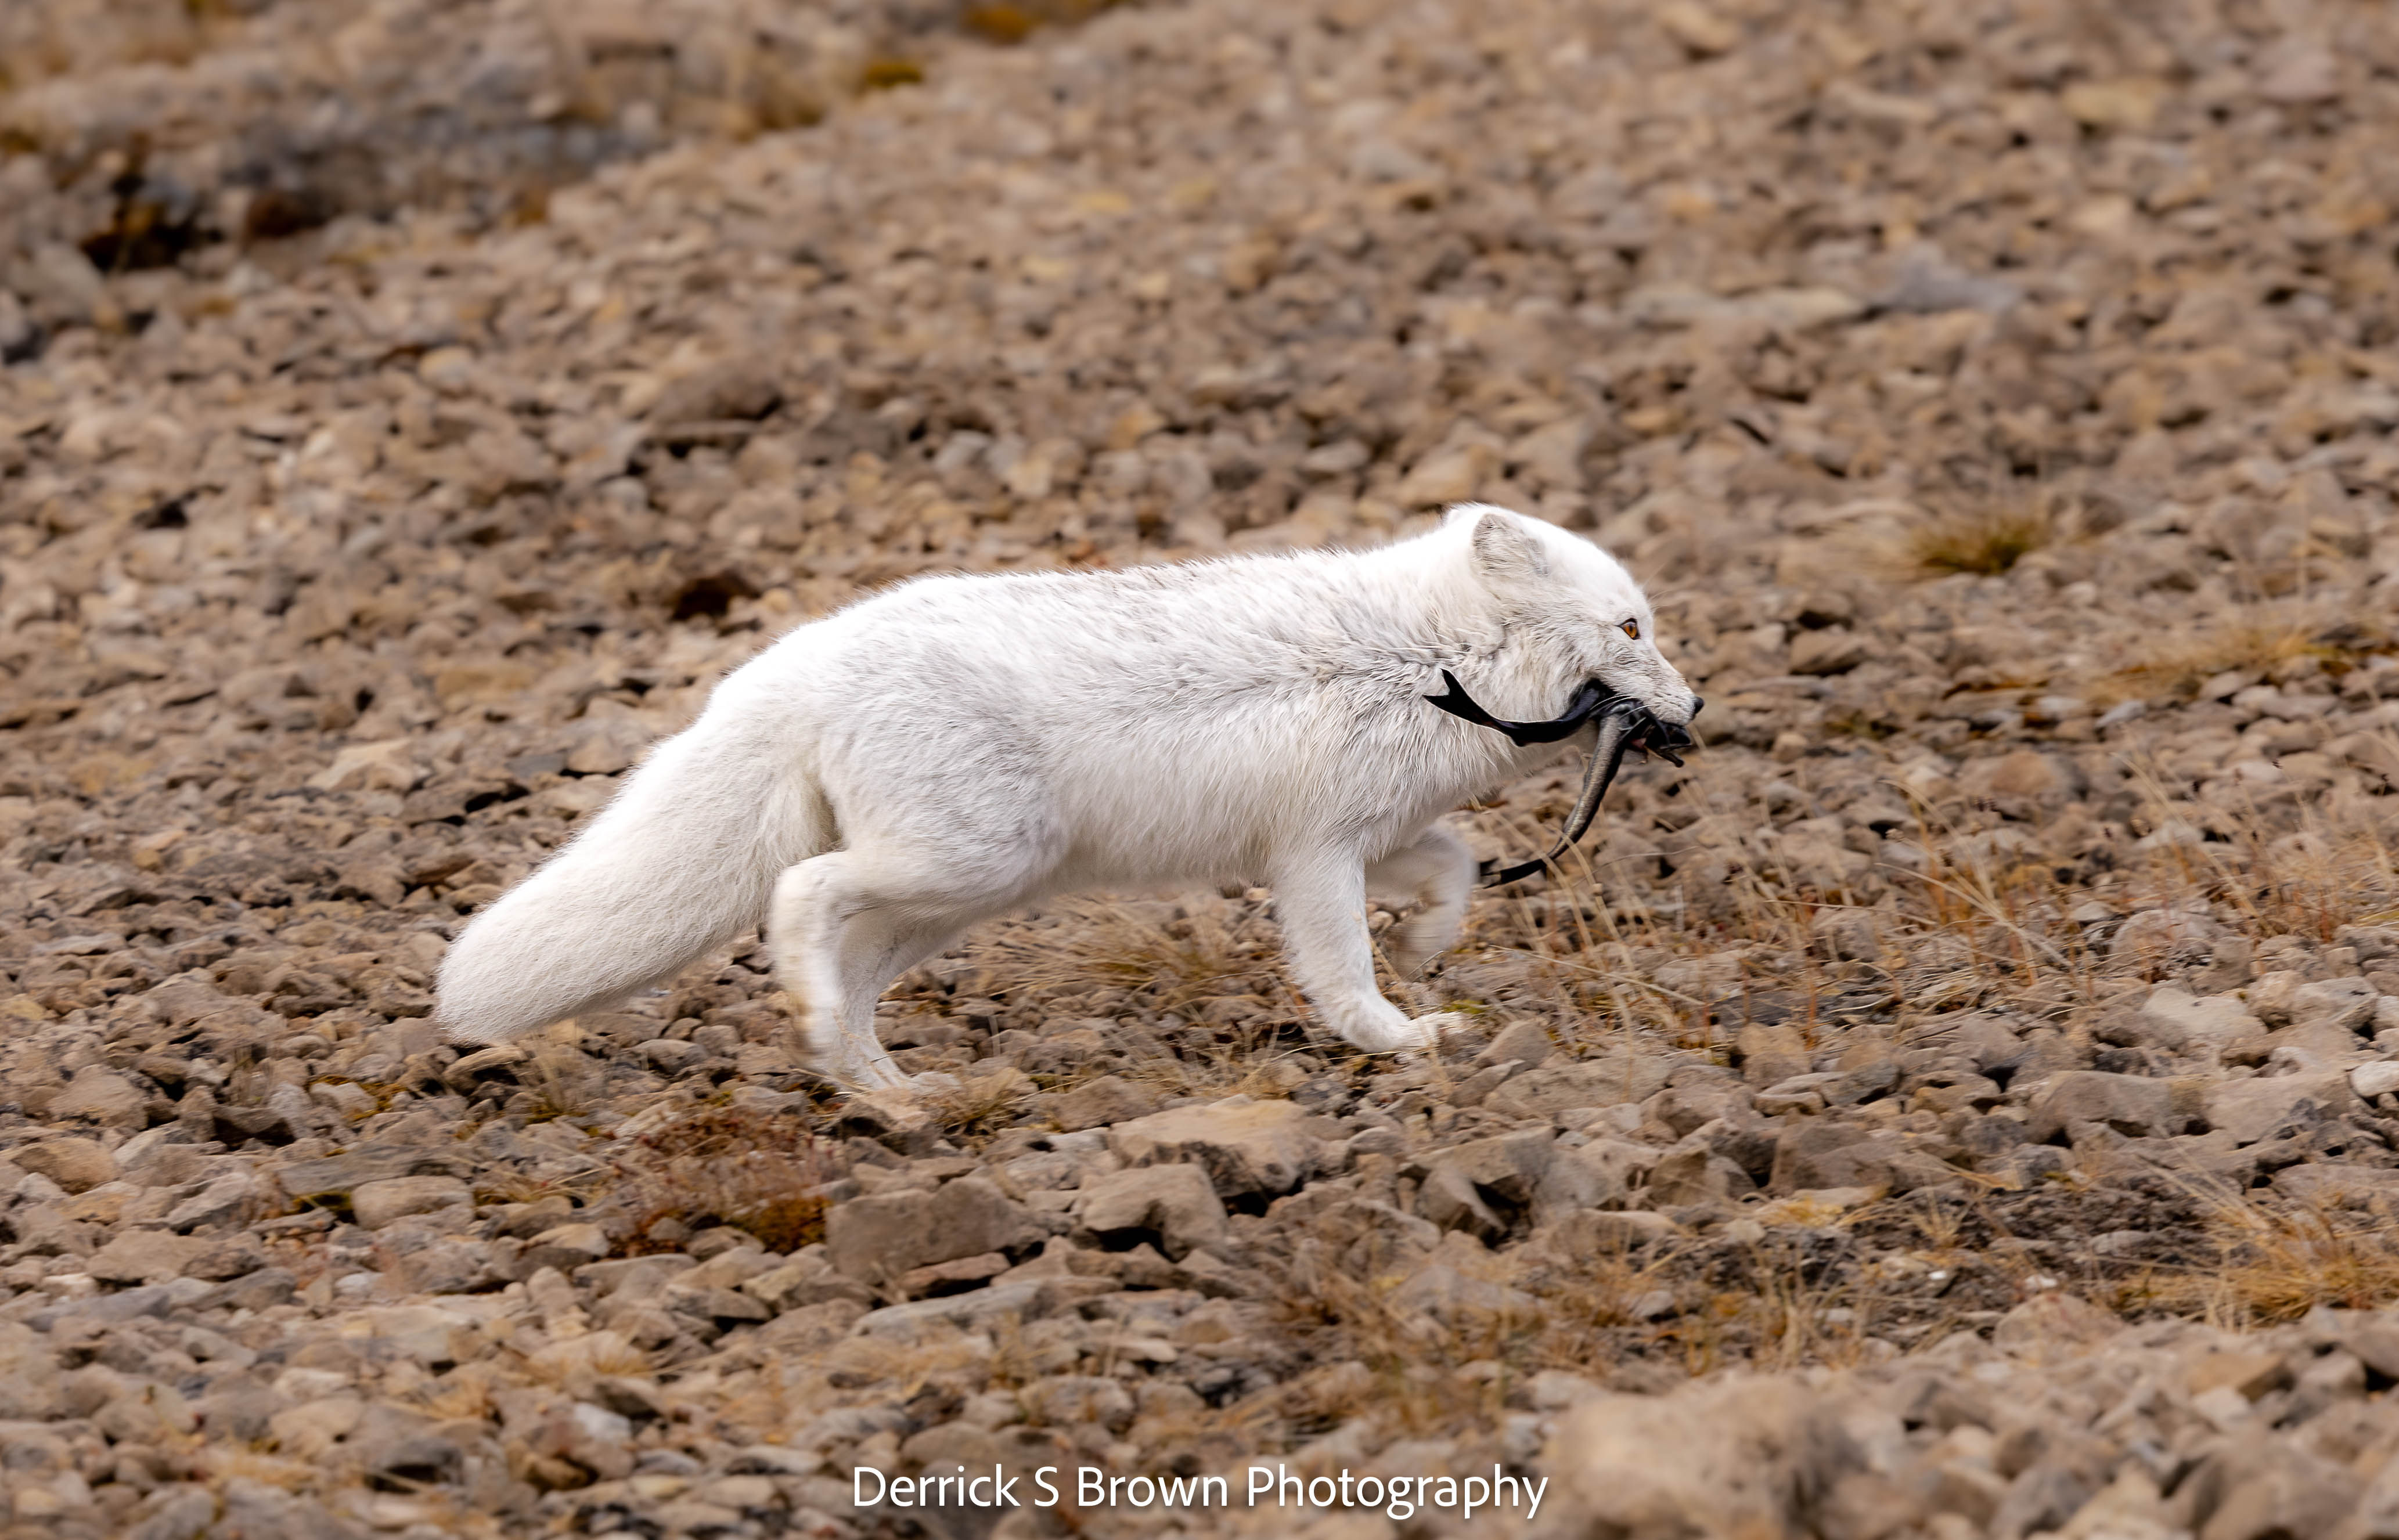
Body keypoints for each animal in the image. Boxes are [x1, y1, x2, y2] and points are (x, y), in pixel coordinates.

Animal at [435, 504, 1701, 1090]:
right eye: (1633, 626)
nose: (1694, 707)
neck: (1424, 656)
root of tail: (787, 666)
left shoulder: (1357, 837)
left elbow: (1457, 866)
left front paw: (1430, 952)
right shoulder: (1314, 858)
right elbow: (1342, 973)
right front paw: (1399, 1036)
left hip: (957, 900)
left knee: (855, 977)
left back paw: (884, 1088)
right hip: (967, 861)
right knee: (802, 895)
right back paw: (835, 1040)